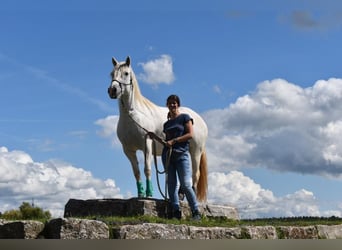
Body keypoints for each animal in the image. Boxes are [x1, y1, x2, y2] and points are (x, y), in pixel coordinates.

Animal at [107, 56, 208, 201]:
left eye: (126, 73)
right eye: (111, 74)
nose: (112, 91)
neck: (133, 115)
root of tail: (200, 119)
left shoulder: (147, 144)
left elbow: (147, 169)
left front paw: (149, 194)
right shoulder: (128, 150)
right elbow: (136, 172)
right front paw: (140, 193)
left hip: (196, 151)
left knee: (196, 174)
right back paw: (180, 194)